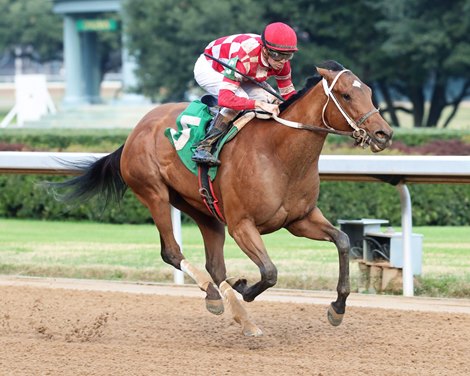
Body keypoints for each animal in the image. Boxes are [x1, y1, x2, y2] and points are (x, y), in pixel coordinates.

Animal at [54, 60, 392, 336]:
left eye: (369, 91)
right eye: (346, 95)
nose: (383, 134)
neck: (278, 154)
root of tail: (133, 133)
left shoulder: (300, 219)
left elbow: (343, 241)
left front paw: (338, 308)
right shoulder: (242, 225)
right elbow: (270, 272)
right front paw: (245, 288)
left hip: (202, 207)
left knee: (215, 265)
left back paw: (241, 317)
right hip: (154, 193)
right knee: (172, 252)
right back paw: (218, 298)